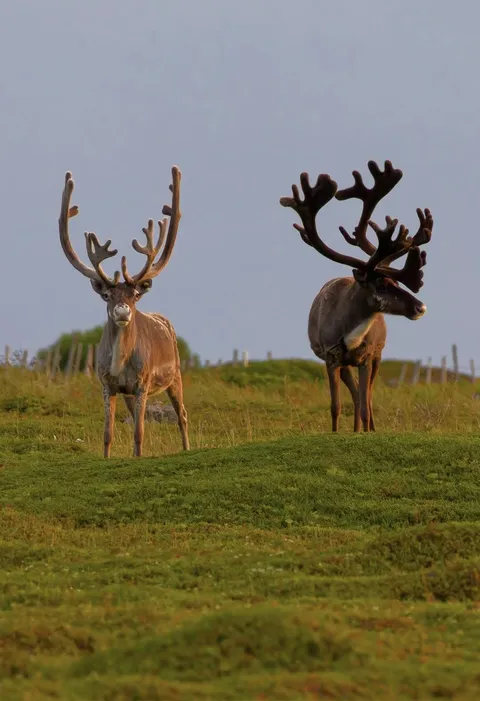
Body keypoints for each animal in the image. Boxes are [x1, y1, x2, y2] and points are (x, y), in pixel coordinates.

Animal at [58, 166, 189, 457]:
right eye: (107, 295)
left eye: (135, 295)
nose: (122, 310)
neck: (119, 364)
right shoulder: (107, 384)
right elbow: (108, 434)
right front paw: (107, 457)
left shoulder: (142, 383)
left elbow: (139, 433)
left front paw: (138, 458)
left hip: (175, 374)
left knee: (183, 415)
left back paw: (187, 447)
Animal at [280, 160, 433, 433]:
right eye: (381, 283)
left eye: (396, 281)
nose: (420, 307)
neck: (350, 333)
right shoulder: (331, 358)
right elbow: (336, 405)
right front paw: (336, 432)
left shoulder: (366, 356)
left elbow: (364, 404)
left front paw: (367, 430)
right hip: (343, 363)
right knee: (355, 393)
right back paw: (356, 429)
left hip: (377, 357)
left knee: (367, 397)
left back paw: (367, 427)